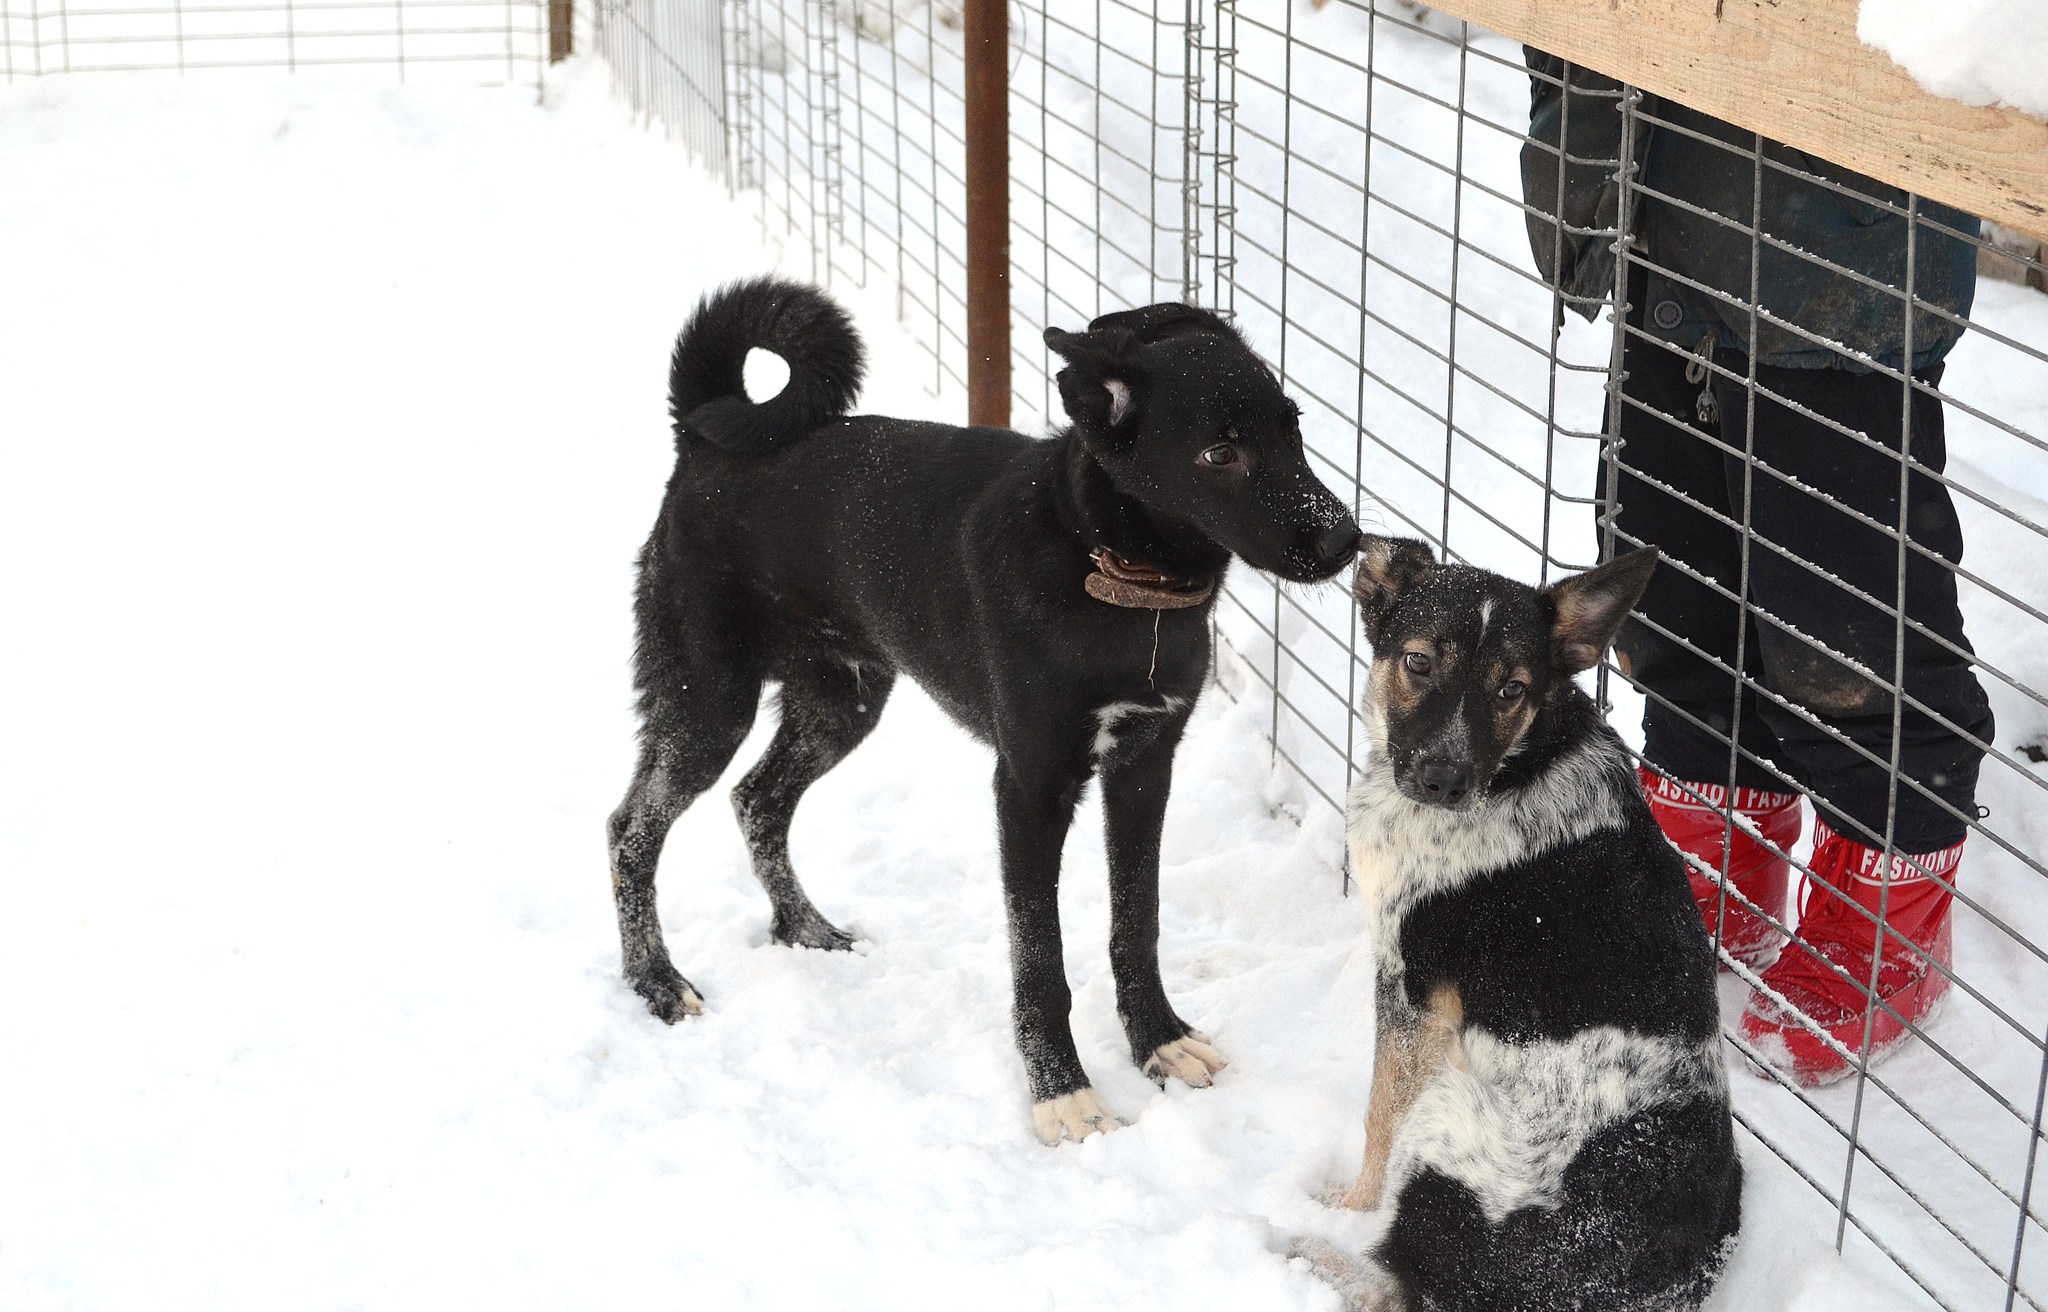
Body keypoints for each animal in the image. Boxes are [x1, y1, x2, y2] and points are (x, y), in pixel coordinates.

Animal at [598, 282, 1359, 1138]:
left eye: (1293, 428)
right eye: (1219, 455)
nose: (1347, 540)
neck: (1112, 575)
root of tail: (704, 442)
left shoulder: (1143, 767)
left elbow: (1138, 924)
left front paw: (1159, 1042)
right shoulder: (1028, 787)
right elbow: (1040, 959)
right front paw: (1063, 1092)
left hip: (842, 701)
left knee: (758, 798)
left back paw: (806, 929)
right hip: (708, 700)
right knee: (632, 828)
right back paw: (657, 981)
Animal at [1310, 536, 1744, 1301]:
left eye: (1510, 690)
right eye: (1418, 662)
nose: (1442, 782)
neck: (1518, 762)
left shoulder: (1409, 989)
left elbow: (1379, 1116)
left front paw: (1351, 1203)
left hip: (1452, 1115)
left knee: (1397, 1284)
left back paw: (1306, 1248)